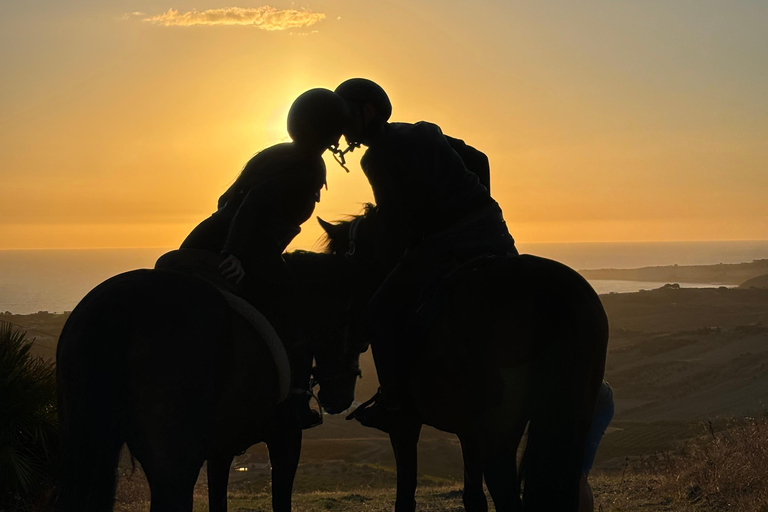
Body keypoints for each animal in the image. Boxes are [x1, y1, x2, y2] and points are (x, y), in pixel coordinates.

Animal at [55, 250, 361, 512]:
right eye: (353, 318)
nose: (342, 398)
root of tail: (123, 303)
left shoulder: (220, 451)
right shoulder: (285, 437)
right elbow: (280, 500)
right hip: (176, 465)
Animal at [318, 205, 609, 512]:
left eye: (330, 288)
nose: (329, 396)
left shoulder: (404, 426)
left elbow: (405, 496)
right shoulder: (469, 432)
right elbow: (473, 497)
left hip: (500, 436)